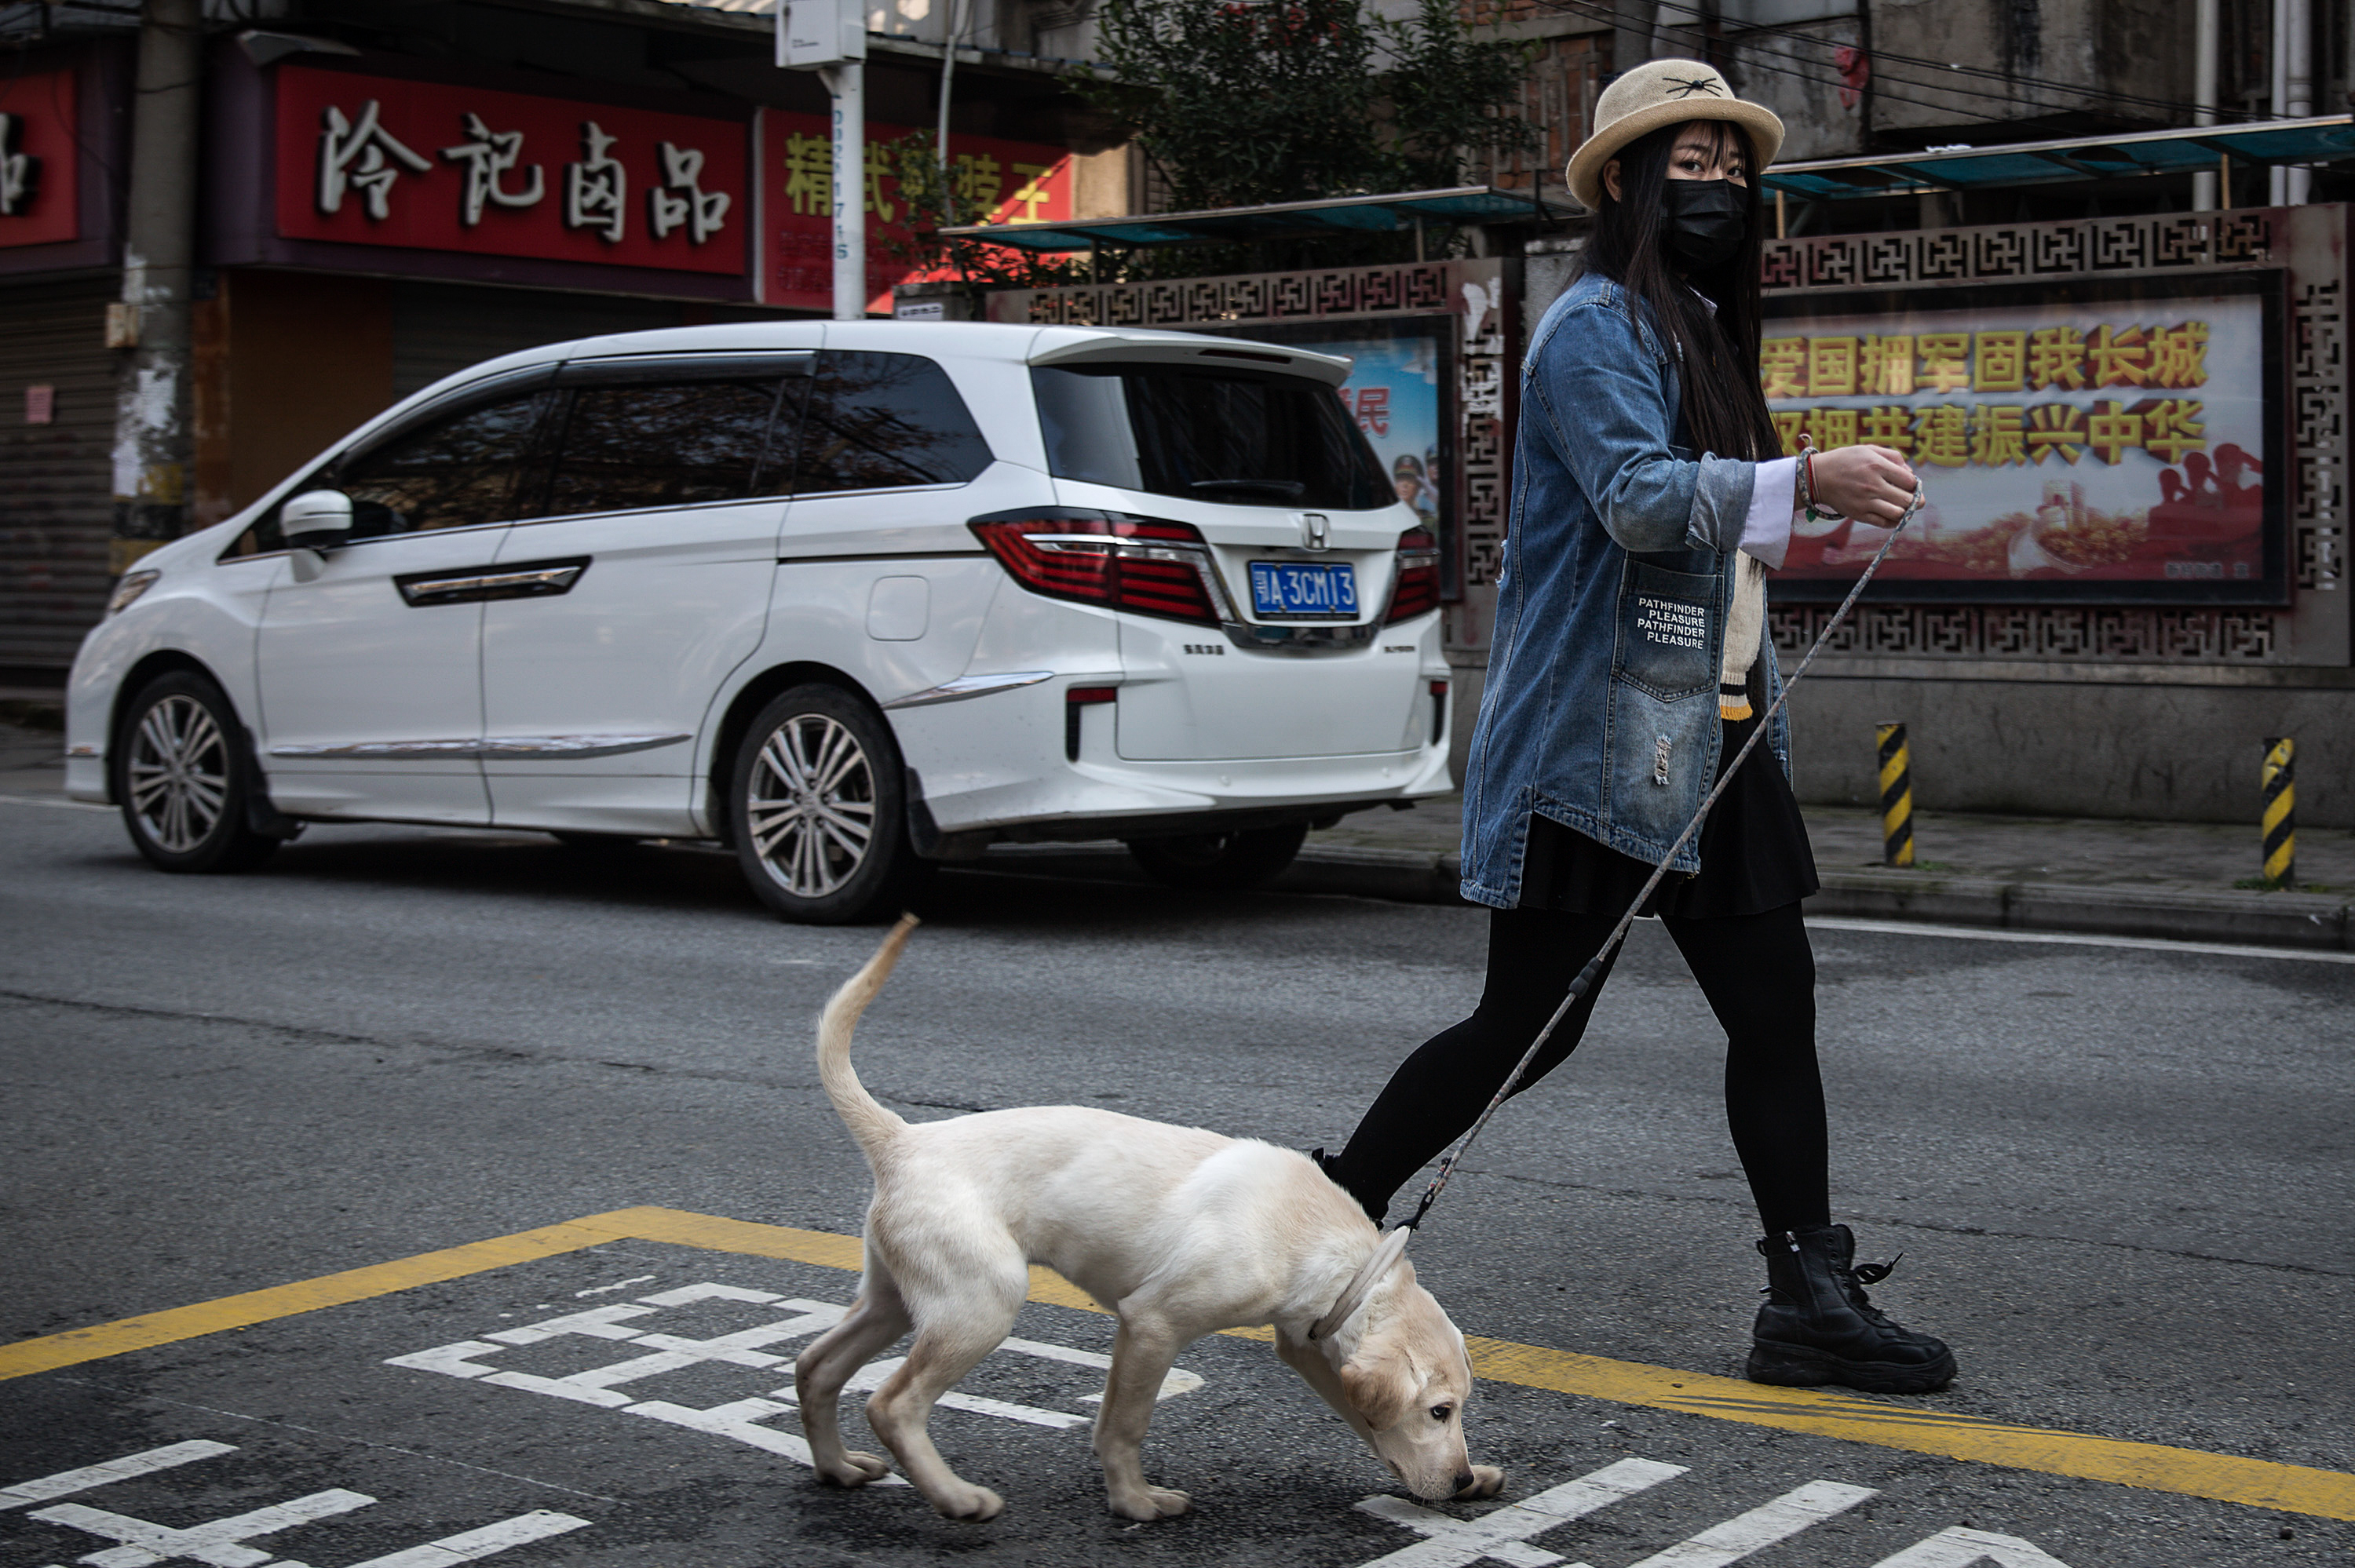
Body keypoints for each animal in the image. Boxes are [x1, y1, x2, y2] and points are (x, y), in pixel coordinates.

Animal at [787, 918, 1488, 1516]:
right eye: (1438, 1410)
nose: (1459, 1482)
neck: (1332, 1252)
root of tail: (904, 1138)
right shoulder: (1153, 1323)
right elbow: (1124, 1424)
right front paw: (1134, 1501)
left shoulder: (1308, 1345)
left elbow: (1361, 1419)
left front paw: (1469, 1477)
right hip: (981, 1302)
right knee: (892, 1403)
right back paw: (956, 1498)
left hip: (901, 1297)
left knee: (816, 1366)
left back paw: (839, 1468)